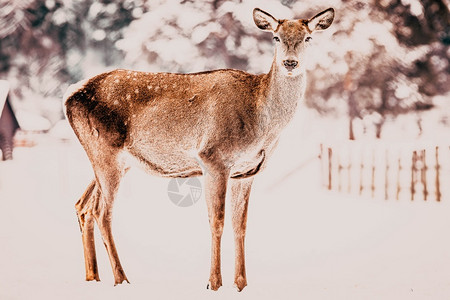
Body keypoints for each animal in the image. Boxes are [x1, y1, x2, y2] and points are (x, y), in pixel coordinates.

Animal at [64, 7, 334, 292]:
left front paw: (241, 284)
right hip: (106, 152)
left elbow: (241, 225)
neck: (262, 125)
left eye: (308, 38)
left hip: (113, 161)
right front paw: (214, 283)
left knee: (83, 204)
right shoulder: (213, 158)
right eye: (276, 37)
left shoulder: (247, 172)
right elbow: (217, 221)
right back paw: (121, 278)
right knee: (101, 211)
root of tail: (70, 95)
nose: (290, 63)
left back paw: (93, 276)